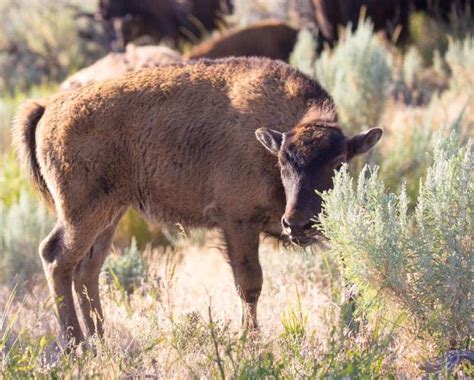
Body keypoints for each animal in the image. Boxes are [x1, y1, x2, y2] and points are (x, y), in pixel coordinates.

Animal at [12, 57, 382, 348]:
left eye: (339, 162)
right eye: (282, 163)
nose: (297, 224)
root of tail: (49, 108)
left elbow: (352, 274)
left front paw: (353, 335)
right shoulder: (237, 223)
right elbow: (250, 284)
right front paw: (250, 341)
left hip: (110, 214)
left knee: (86, 270)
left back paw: (101, 342)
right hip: (83, 214)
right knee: (57, 258)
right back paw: (77, 347)